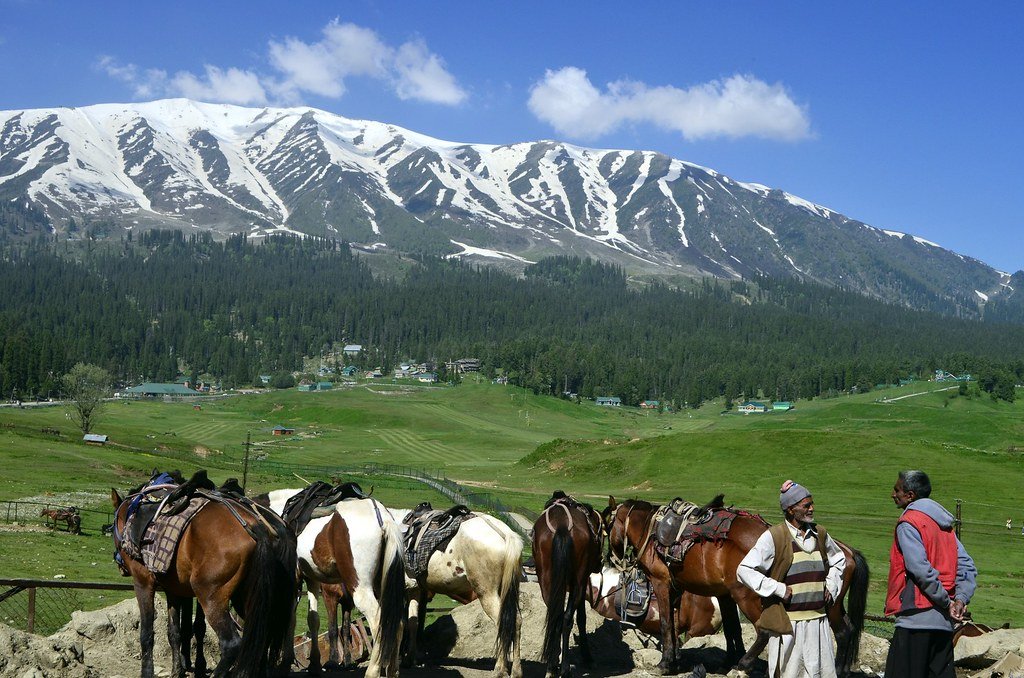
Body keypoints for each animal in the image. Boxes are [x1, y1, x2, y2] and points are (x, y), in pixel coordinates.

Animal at [111, 481, 296, 678]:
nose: (119, 564)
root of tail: (257, 527)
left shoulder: (143, 582)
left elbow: (146, 634)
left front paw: (147, 672)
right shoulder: (172, 589)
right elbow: (174, 632)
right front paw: (177, 670)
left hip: (211, 597)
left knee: (231, 644)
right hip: (254, 597)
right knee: (261, 636)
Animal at [260, 491, 407, 675]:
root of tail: (383, 519)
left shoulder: (296, 579)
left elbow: (291, 619)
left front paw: (286, 663)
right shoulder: (312, 579)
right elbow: (313, 619)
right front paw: (314, 664)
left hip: (361, 588)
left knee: (379, 623)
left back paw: (372, 671)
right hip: (382, 587)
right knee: (396, 624)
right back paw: (392, 671)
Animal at [389, 510, 524, 678]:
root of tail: (506, 534)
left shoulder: (405, 589)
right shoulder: (416, 589)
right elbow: (413, 622)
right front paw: (410, 659)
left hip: (487, 593)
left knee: (502, 622)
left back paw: (500, 668)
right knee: (516, 621)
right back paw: (516, 670)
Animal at [532, 491, 602, 675]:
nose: (600, 563)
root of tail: (562, 525)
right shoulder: (583, 583)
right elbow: (582, 618)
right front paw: (588, 658)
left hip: (546, 581)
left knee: (555, 616)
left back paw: (552, 665)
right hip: (578, 581)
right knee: (567, 618)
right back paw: (564, 668)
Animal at [602, 497, 868, 675]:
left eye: (606, 527)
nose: (609, 558)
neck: (651, 529)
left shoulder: (661, 583)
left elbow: (668, 623)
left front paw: (665, 664)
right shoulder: (701, 591)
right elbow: (708, 626)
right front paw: (679, 659)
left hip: (750, 596)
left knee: (769, 630)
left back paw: (745, 664)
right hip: (830, 603)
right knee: (848, 628)